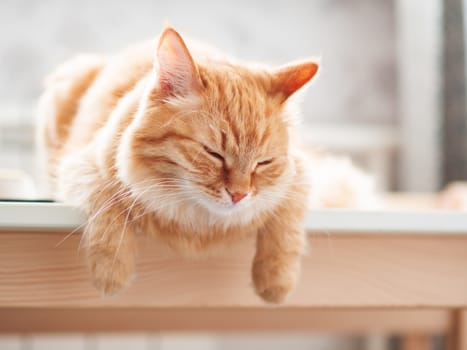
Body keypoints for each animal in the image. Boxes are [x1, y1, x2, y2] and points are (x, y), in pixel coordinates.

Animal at [36, 27, 322, 302]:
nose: (239, 195)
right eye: (213, 153)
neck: (197, 222)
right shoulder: (80, 166)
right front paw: (111, 272)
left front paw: (276, 282)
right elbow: (107, 215)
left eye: (263, 163)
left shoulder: (300, 175)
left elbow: (287, 228)